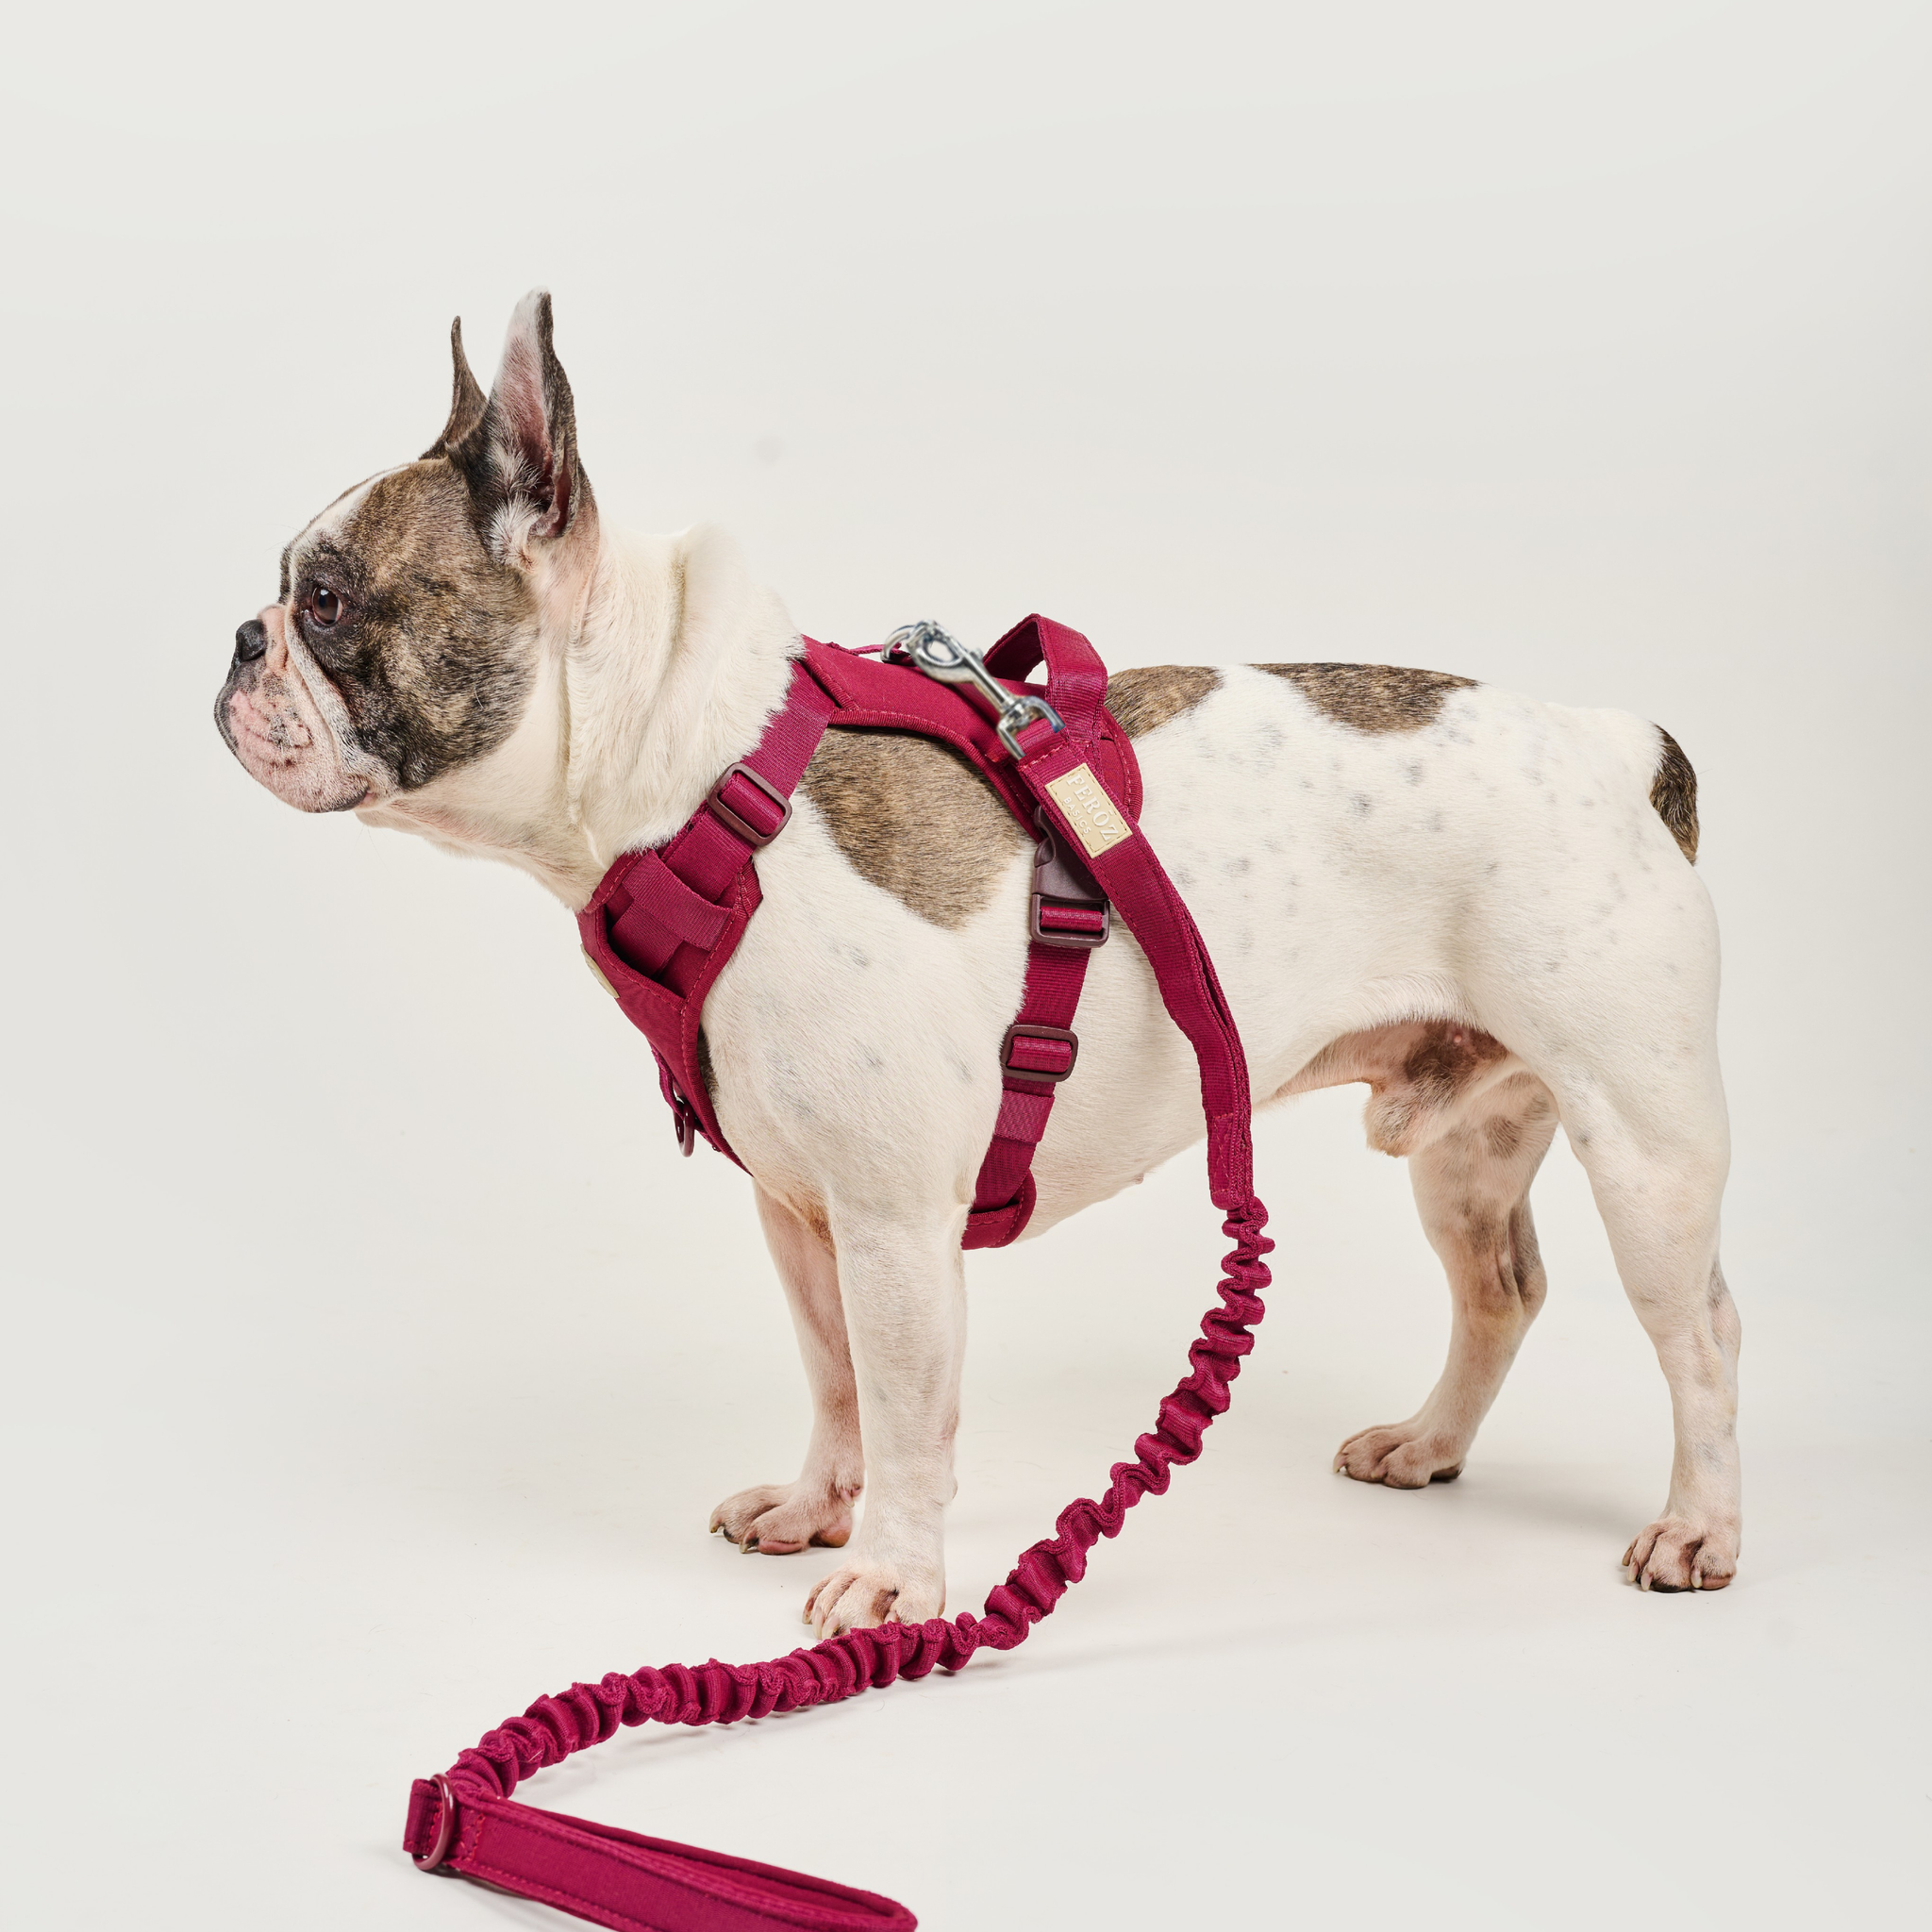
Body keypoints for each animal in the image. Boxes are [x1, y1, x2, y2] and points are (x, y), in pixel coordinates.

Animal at [216, 291, 1741, 1637]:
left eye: (330, 601)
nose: (239, 640)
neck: (700, 779)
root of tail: (1622, 742)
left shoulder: (894, 1224)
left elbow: (903, 1405)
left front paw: (893, 1582)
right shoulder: (803, 1210)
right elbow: (833, 1378)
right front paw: (817, 1508)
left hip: (1643, 1145)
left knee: (1703, 1333)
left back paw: (1699, 1527)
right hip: (1472, 1143)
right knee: (1498, 1289)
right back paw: (1429, 1442)